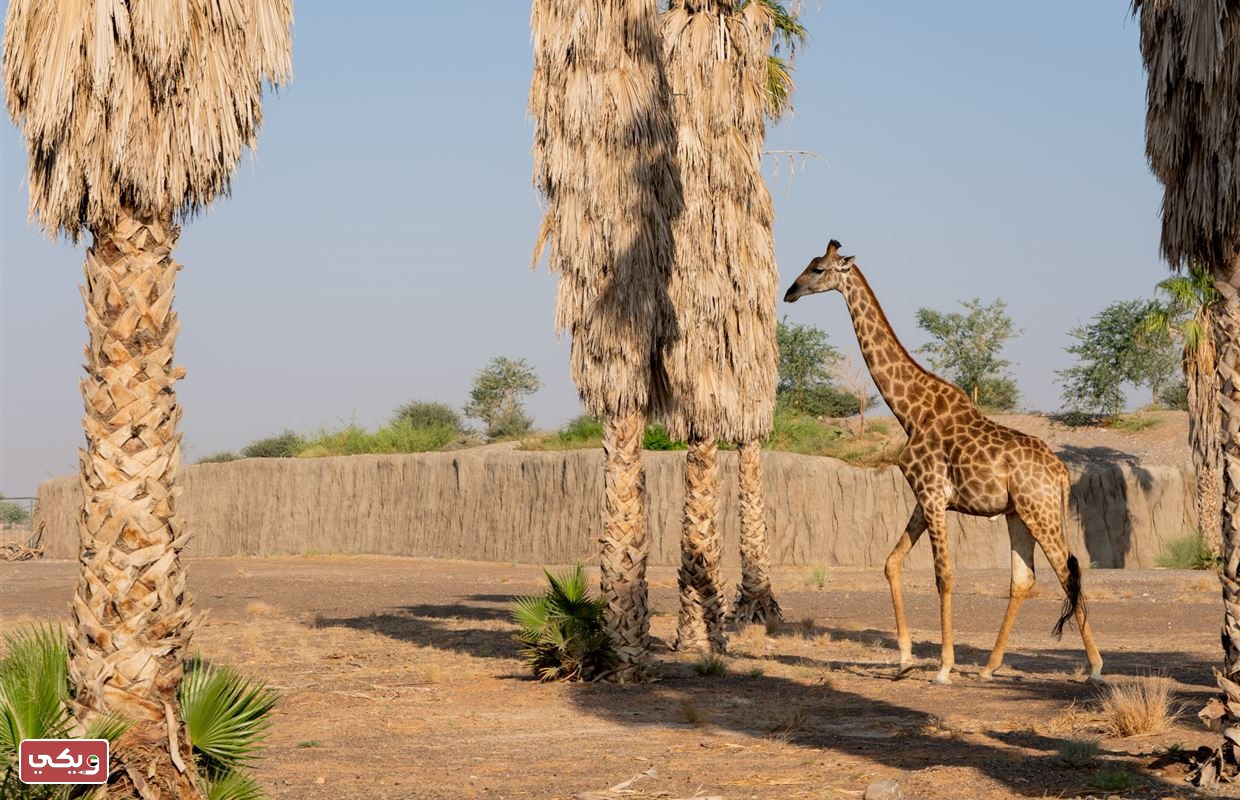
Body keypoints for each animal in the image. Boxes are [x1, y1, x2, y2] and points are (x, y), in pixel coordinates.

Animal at [783, 236, 1106, 679]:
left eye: (817, 269)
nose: (789, 292)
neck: (910, 410)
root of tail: (1060, 473)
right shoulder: (925, 498)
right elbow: (891, 563)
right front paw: (904, 659)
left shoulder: (934, 495)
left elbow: (944, 576)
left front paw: (943, 667)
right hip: (1018, 514)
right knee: (1024, 578)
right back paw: (989, 667)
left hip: (1039, 511)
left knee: (1065, 570)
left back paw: (1095, 666)